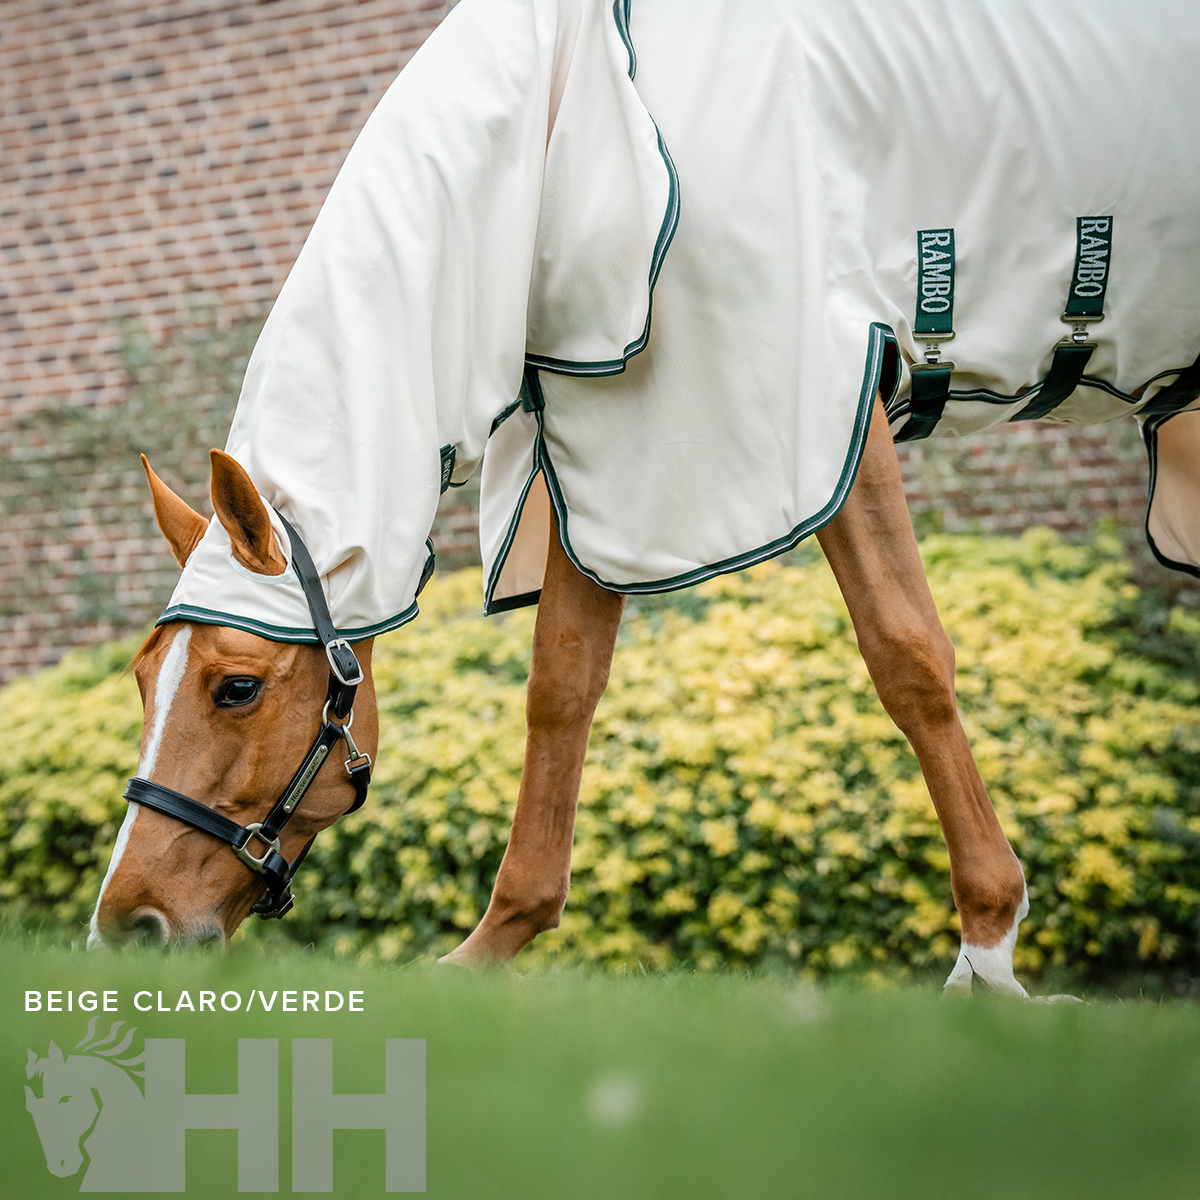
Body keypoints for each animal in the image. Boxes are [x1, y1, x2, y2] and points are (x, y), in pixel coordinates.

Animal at [89, 0, 1200, 998]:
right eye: (142, 678)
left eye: (235, 687)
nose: (127, 927)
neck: (567, 133)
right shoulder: (604, 463)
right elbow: (560, 693)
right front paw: (490, 948)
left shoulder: (825, 410)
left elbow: (907, 656)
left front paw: (989, 950)